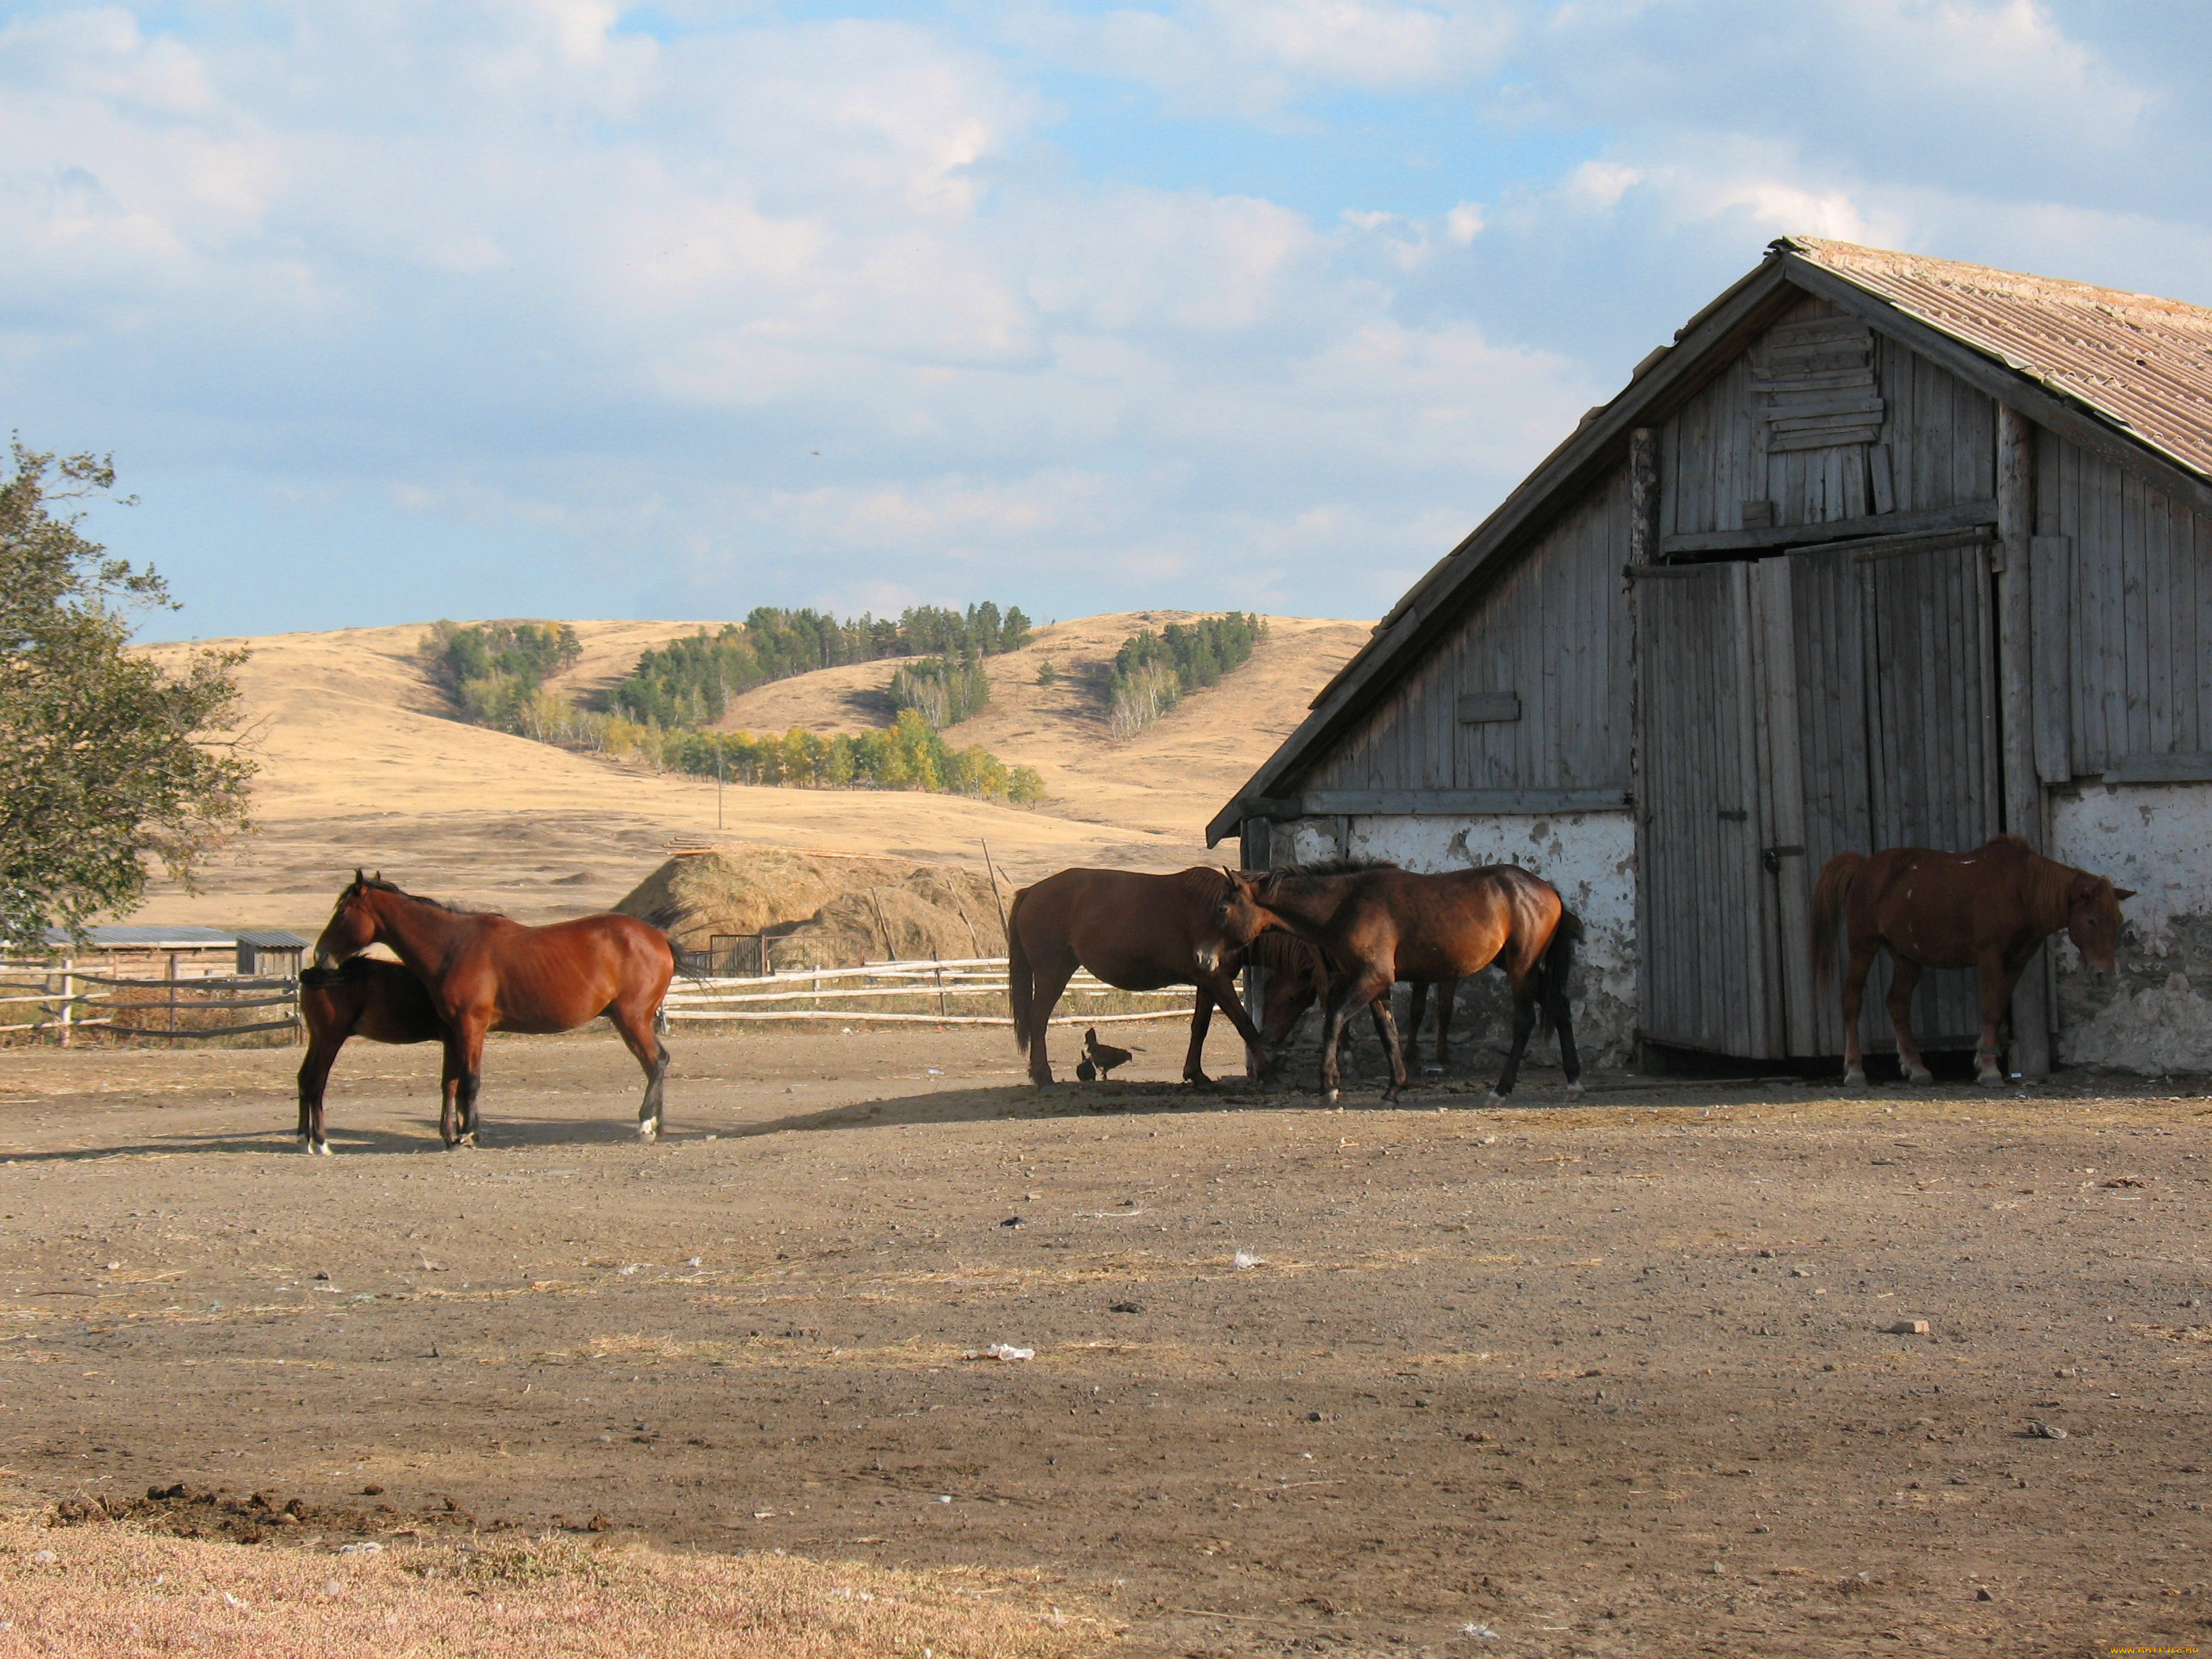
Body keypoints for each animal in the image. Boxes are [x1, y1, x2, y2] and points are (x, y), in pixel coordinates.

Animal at [296, 960, 447, 1159]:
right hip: (330, 1039)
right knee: (316, 1081)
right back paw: (321, 1142)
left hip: (318, 1039)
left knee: (305, 1078)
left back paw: (304, 1139)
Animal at [312, 876, 672, 1150]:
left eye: (342, 912)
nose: (321, 955)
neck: (452, 946)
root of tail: (658, 937)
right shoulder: (454, 1030)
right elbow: (453, 1081)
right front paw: (455, 1134)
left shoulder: (471, 1025)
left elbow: (470, 1080)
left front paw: (469, 1134)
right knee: (657, 1062)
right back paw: (657, 1124)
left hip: (631, 1019)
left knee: (655, 1062)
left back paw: (645, 1125)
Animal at [1008, 872, 1274, 1092]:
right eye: (1221, 910)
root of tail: (1031, 891)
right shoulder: (1216, 979)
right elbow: (1244, 1024)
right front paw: (1265, 1071)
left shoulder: (1208, 982)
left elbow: (1200, 1027)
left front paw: (1196, 1074)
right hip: (1052, 973)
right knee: (1038, 1019)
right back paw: (1044, 1077)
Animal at [1238, 862, 1584, 1110]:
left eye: (1227, 907)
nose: (1266, 1038)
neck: (1345, 903)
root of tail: (1547, 891)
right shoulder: (1376, 985)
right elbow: (1388, 1032)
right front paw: (1393, 1089)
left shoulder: (1372, 978)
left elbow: (1334, 1020)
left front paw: (1330, 1087)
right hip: (1519, 968)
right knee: (1561, 1005)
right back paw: (1573, 1082)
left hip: (1522, 968)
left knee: (1525, 1020)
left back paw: (1501, 1090)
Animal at [1805, 832, 2132, 1092]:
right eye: (2091, 921)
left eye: (2117, 921)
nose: (2104, 974)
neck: (2021, 889)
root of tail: (1863, 867)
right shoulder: (1990, 956)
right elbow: (1990, 1009)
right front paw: (1989, 1069)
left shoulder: (2017, 962)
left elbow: (1998, 1009)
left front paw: (1984, 1060)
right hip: (1864, 946)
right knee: (1852, 1001)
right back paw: (1855, 1071)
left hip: (1906, 956)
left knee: (1897, 1003)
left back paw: (1917, 1068)